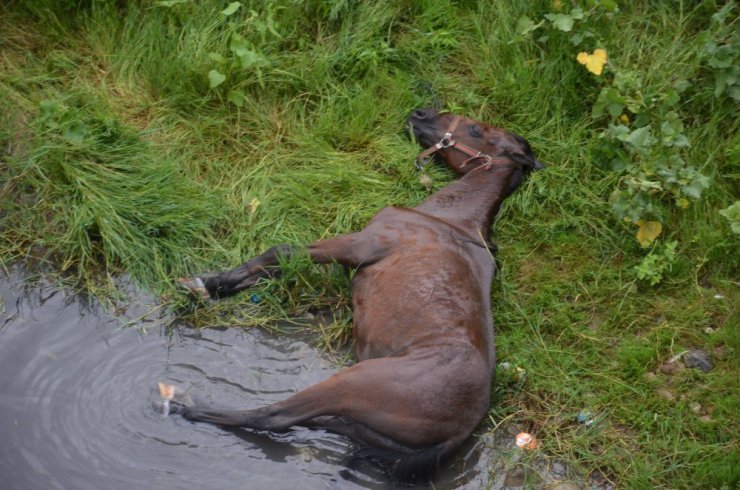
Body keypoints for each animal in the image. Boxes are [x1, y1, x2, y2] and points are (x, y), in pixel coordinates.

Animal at [168, 108, 544, 482]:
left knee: (274, 418)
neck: (451, 220)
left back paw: (187, 408)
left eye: (475, 129)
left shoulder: (357, 246)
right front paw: (221, 286)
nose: (419, 113)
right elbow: (274, 268)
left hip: (350, 383)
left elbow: (281, 252)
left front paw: (207, 284)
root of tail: (461, 429)